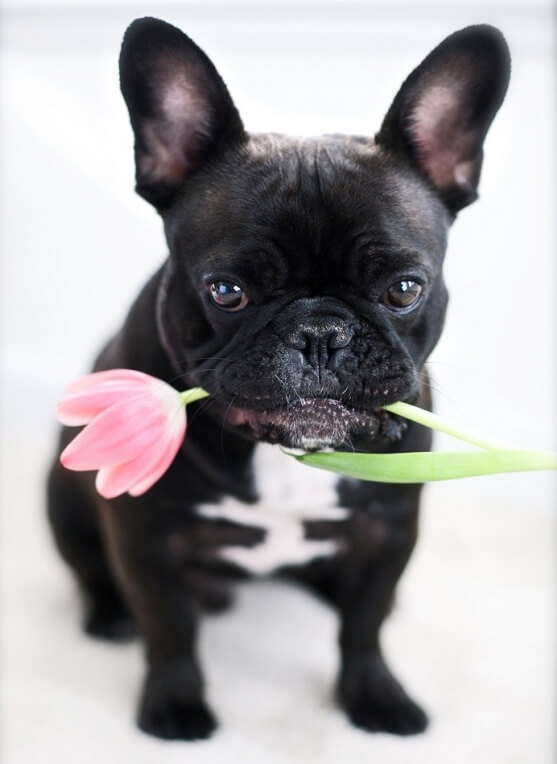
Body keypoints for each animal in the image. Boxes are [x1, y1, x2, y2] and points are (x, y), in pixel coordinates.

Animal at [46, 19, 508, 740]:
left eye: (404, 288)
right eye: (226, 291)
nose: (320, 333)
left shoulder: (389, 529)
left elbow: (364, 626)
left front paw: (375, 697)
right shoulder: (145, 534)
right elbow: (169, 628)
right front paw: (174, 705)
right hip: (62, 496)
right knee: (93, 572)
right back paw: (109, 616)